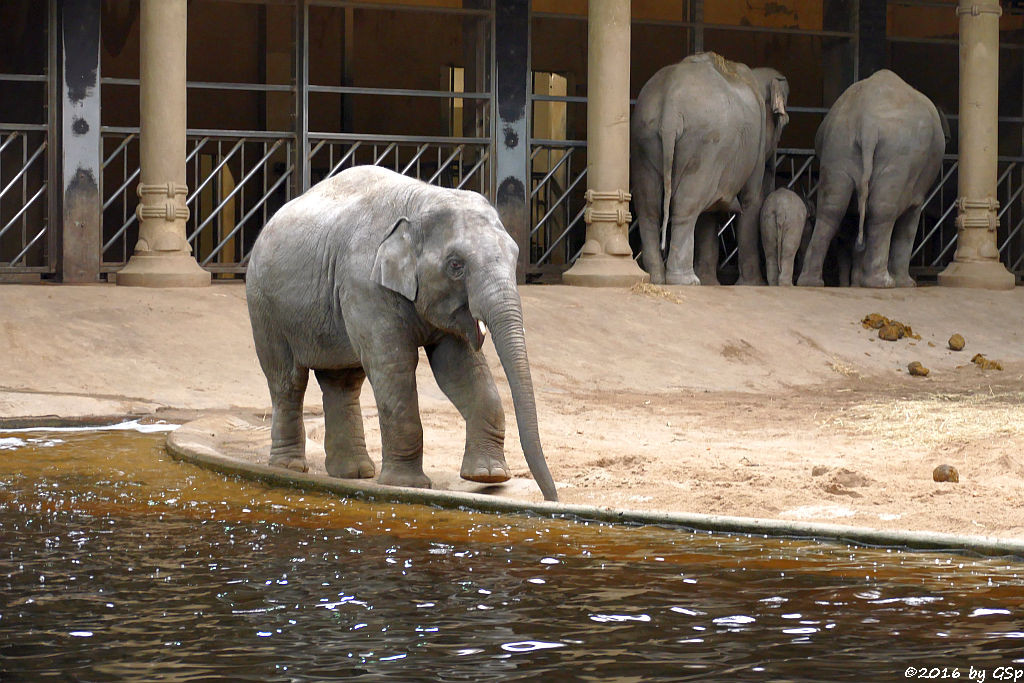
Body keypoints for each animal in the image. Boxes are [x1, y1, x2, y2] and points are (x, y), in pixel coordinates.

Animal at [246, 165, 561, 501]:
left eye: (515, 255)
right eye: (456, 265)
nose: (551, 498)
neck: (422, 199)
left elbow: (459, 367)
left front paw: (488, 476)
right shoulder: (364, 284)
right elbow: (393, 366)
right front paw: (407, 484)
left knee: (343, 382)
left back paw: (355, 473)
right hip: (264, 306)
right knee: (288, 380)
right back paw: (290, 466)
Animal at [630, 53, 790, 286]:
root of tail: (670, 108)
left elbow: (709, 212)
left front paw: (710, 282)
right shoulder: (755, 149)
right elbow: (751, 201)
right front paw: (752, 284)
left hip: (644, 137)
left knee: (648, 207)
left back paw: (656, 278)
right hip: (706, 144)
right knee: (686, 204)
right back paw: (686, 281)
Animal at [798, 70, 942, 290]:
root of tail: (868, 123)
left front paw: (857, 283)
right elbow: (910, 219)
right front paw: (907, 284)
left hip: (839, 146)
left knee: (831, 208)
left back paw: (811, 282)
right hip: (898, 154)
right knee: (883, 210)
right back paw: (883, 283)